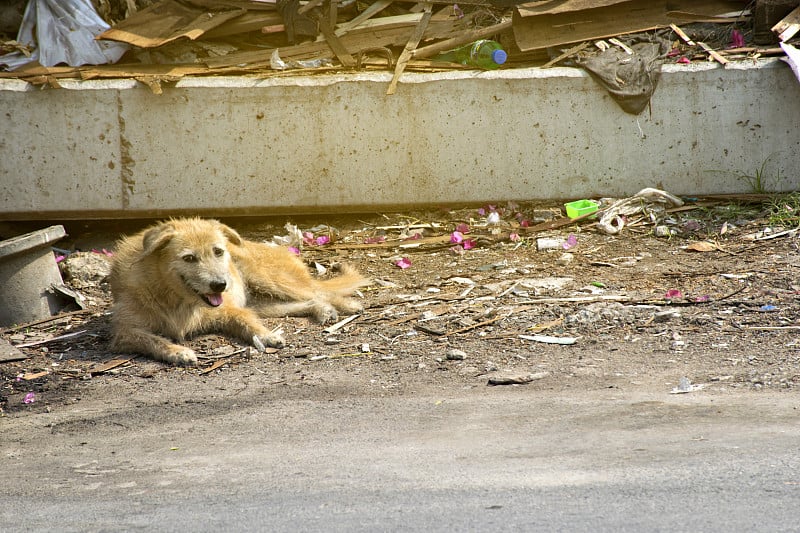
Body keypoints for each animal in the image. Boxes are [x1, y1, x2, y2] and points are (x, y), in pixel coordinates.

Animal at [108, 217, 368, 366]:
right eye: (189, 258)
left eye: (218, 252)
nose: (220, 285)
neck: (175, 297)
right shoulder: (125, 333)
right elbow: (153, 340)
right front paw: (177, 352)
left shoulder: (230, 311)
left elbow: (247, 323)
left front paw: (266, 336)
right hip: (266, 304)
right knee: (309, 300)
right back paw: (324, 311)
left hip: (272, 281)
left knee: (318, 291)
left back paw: (347, 305)